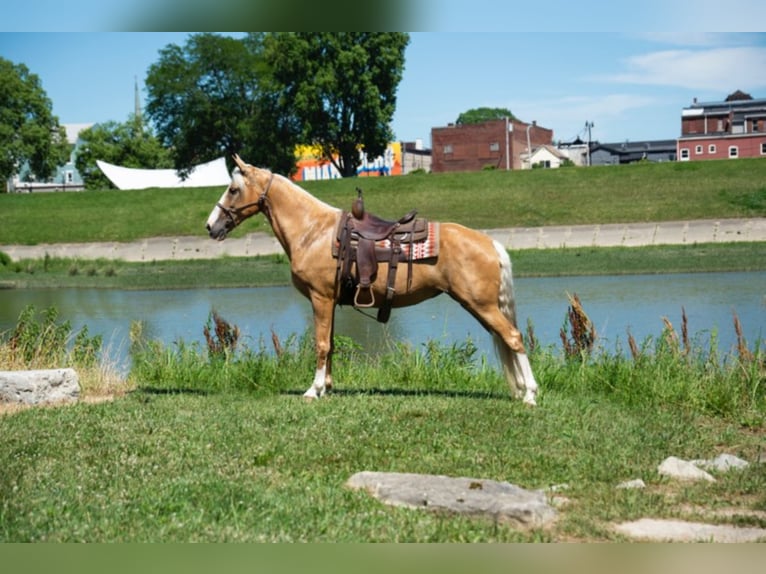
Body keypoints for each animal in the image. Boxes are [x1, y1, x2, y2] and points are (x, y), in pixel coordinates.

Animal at [206, 155, 540, 408]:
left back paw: (531, 395)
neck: (313, 231)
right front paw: (327, 386)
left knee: (514, 338)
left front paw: (314, 390)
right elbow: (330, 344)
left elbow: (321, 344)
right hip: (481, 307)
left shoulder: (320, 298)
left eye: (233, 189)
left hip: (482, 306)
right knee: (507, 340)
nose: (210, 226)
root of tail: (490, 242)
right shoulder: (329, 302)